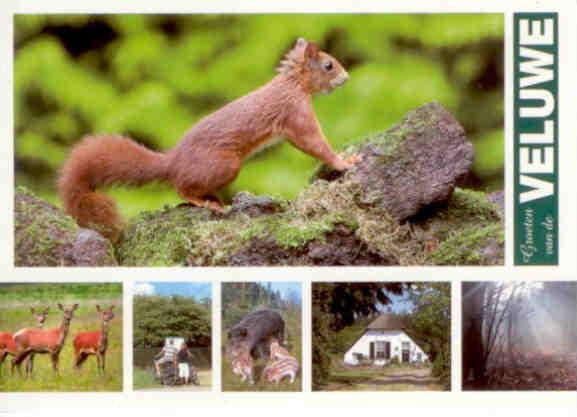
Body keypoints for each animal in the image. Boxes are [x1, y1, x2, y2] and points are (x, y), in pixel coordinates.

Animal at [57, 39, 356, 240]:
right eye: (328, 65)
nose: (347, 77)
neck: (293, 84)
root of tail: (172, 162)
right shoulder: (295, 114)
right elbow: (314, 143)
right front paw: (345, 161)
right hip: (224, 165)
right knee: (182, 188)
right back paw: (206, 202)